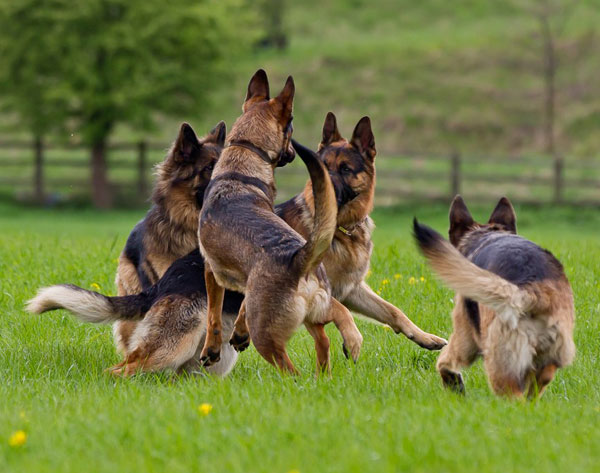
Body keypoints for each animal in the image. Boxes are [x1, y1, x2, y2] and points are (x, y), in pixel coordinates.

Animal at [199, 70, 364, 372]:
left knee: (292, 371)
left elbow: (213, 315)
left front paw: (212, 351)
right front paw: (237, 333)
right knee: (328, 335)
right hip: (315, 313)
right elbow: (239, 308)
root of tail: (299, 259)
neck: (244, 157)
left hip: (268, 338)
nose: (291, 153)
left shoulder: (211, 269)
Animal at [274, 112, 448, 350]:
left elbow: (393, 311)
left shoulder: (352, 289)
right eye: (322, 167)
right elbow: (342, 310)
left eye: (345, 169)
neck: (342, 231)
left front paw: (425, 337)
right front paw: (352, 339)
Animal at [412, 196, 576, 398]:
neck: (486, 234)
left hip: (498, 363)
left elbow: (444, 360)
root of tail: (532, 293)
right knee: (534, 390)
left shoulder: (465, 334)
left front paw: (454, 384)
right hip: (546, 363)